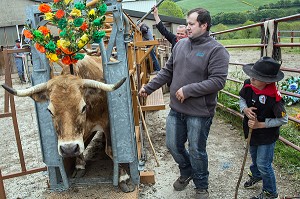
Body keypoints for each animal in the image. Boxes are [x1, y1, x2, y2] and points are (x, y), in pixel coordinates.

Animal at [1, 55, 135, 192]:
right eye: (50, 110)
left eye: (83, 107)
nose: (68, 149)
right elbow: (81, 146)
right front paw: (80, 165)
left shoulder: (107, 123)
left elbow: (111, 151)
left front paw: (123, 178)